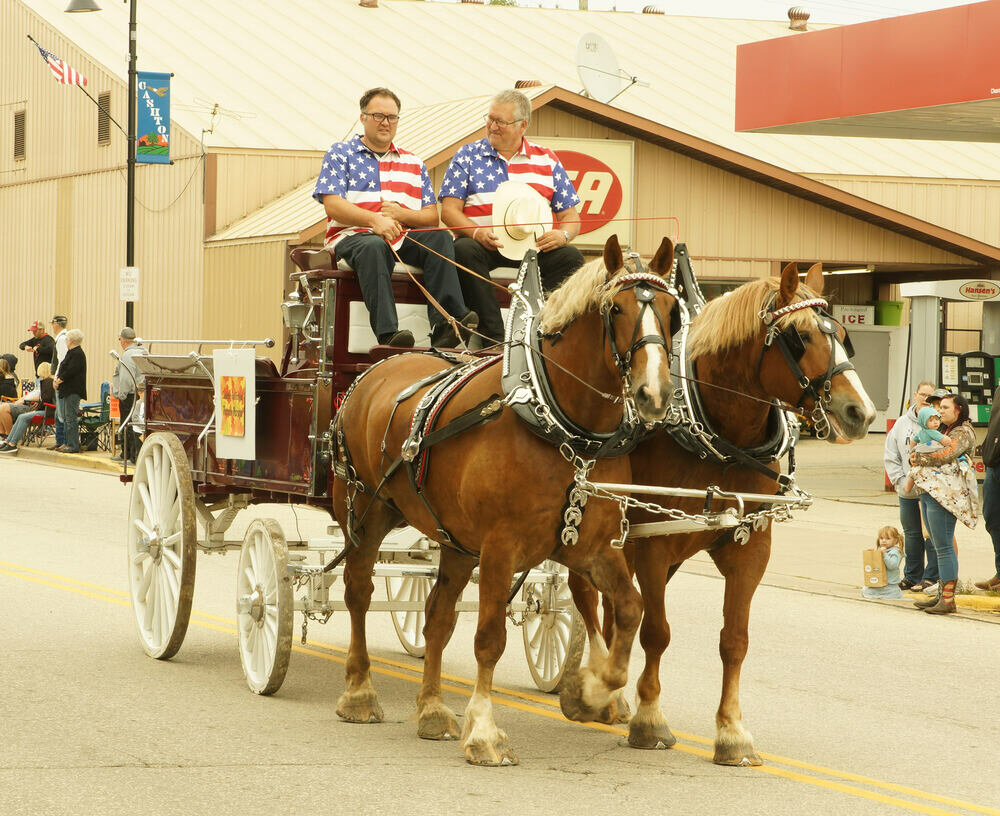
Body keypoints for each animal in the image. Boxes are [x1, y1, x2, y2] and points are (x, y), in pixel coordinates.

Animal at [332, 234, 684, 764]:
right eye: (615, 309)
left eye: (671, 311)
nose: (654, 393)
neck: (562, 426)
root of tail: (380, 366)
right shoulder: (500, 548)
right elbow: (490, 640)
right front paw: (483, 730)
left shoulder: (594, 548)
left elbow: (629, 609)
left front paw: (593, 692)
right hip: (365, 511)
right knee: (358, 591)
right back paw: (359, 691)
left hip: (454, 541)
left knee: (436, 618)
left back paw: (432, 709)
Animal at [572, 260, 876, 764]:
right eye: (800, 337)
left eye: (844, 337)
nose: (862, 413)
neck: (722, 439)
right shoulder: (654, 541)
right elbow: (657, 632)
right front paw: (650, 718)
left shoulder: (751, 545)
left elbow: (735, 640)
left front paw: (732, 731)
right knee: (586, 596)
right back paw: (591, 688)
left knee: (612, 607)